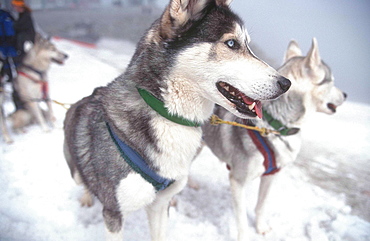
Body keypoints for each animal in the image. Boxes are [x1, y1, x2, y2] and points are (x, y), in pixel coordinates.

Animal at [62, 0, 290, 240]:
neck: (168, 115)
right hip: (77, 171)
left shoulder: (160, 205)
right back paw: (87, 196)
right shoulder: (114, 213)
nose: (286, 83)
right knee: (82, 179)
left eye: (247, 45)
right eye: (231, 43)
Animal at [202, 38, 346, 240]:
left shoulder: (271, 176)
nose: (346, 95)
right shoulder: (238, 181)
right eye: (331, 81)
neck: (275, 125)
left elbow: (261, 206)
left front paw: (261, 228)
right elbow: (241, 221)